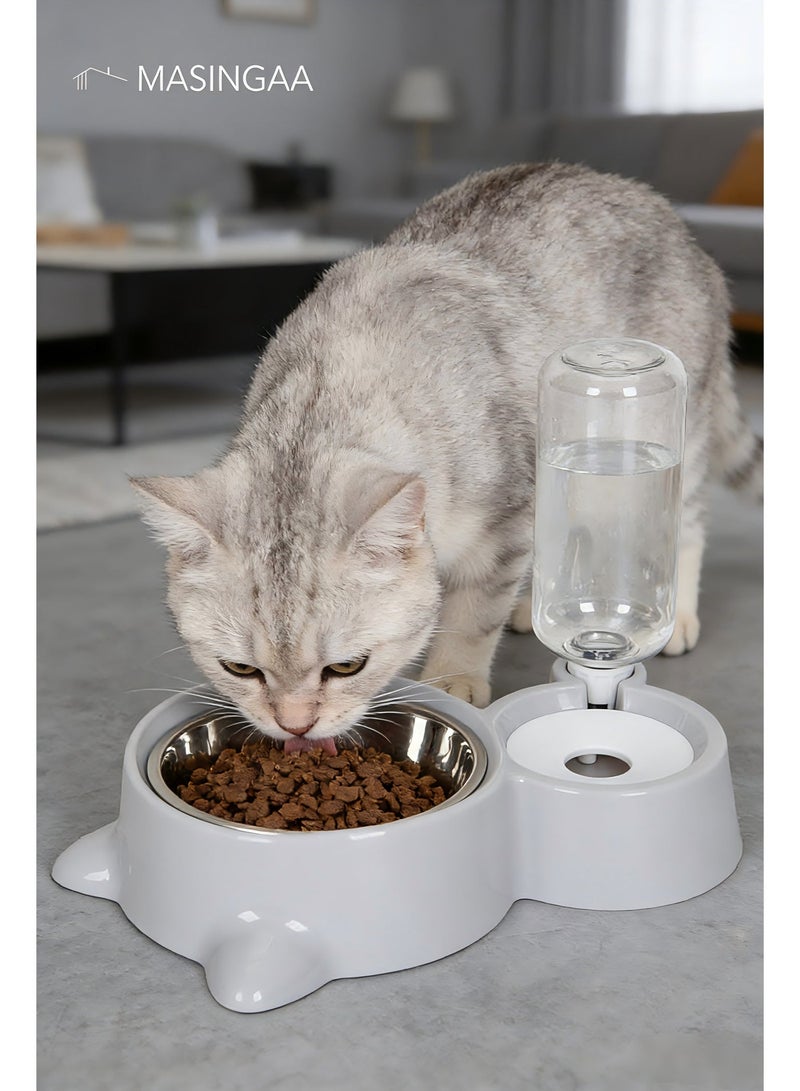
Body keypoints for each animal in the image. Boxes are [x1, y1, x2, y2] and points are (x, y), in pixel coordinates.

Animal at [133, 162, 762, 754]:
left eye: (347, 666)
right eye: (239, 668)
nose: (295, 725)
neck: (328, 388)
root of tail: (661, 207)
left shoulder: (505, 522)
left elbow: (472, 615)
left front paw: (451, 682)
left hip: (676, 435)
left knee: (688, 524)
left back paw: (676, 617)